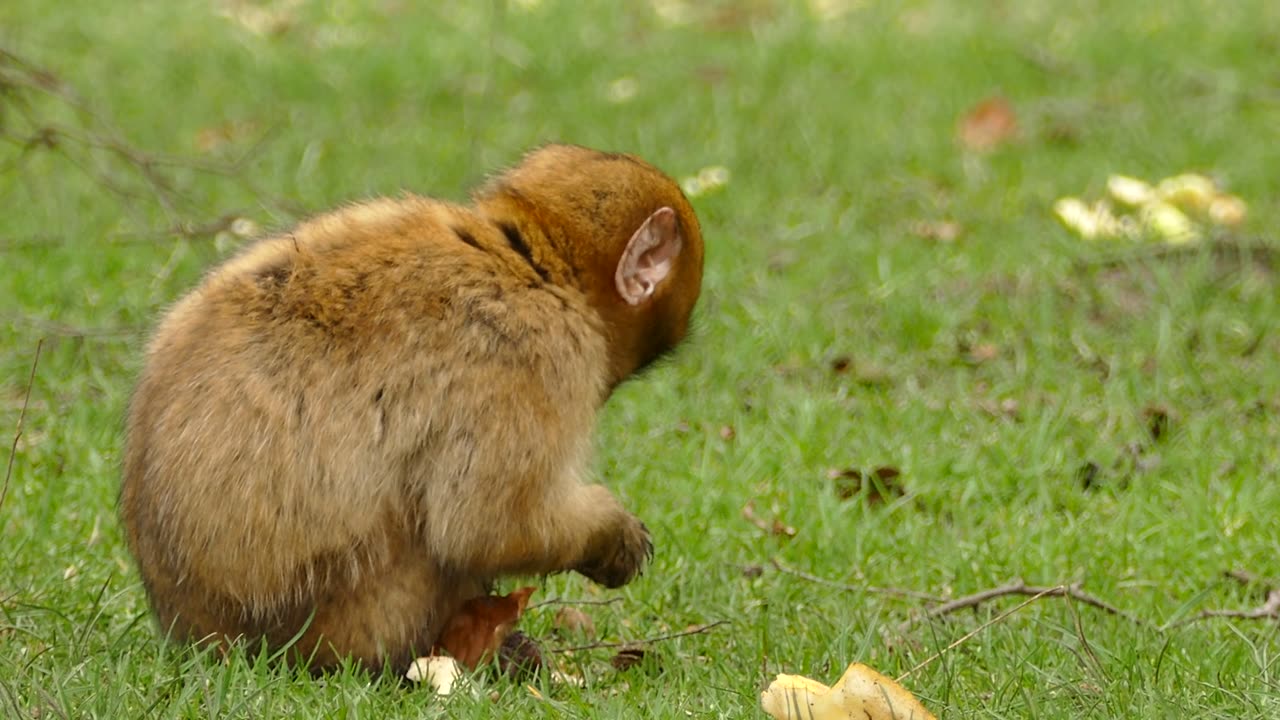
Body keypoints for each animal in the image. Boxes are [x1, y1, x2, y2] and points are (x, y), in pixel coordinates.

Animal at [120, 142, 706, 671]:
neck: (530, 261)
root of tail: (199, 634)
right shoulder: (534, 354)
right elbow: (485, 526)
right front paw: (612, 534)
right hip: (351, 618)